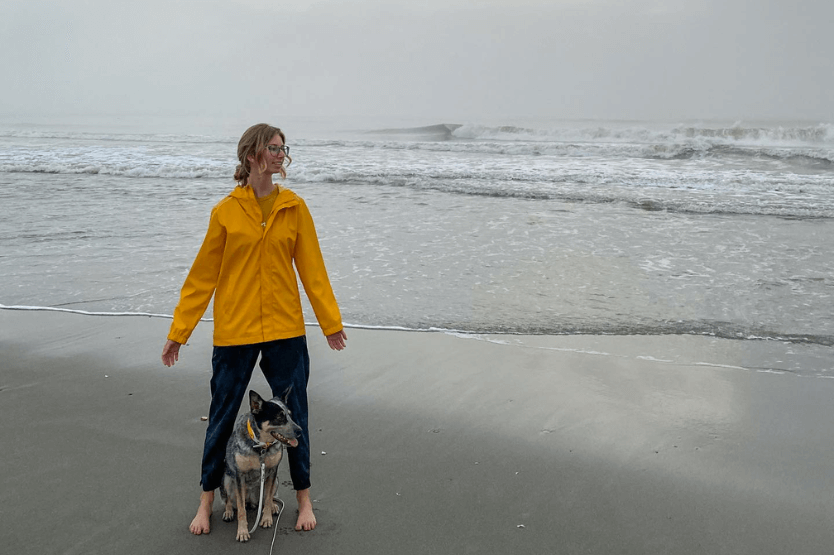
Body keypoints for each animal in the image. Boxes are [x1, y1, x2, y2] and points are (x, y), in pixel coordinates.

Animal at [219, 388, 300, 540]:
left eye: (290, 415)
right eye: (279, 417)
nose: (300, 431)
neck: (261, 446)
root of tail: (252, 501)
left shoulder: (273, 470)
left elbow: (267, 498)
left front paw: (267, 518)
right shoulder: (239, 476)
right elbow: (241, 509)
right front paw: (242, 531)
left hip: (276, 480)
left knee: (269, 496)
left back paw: (273, 506)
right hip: (226, 479)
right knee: (229, 500)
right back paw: (228, 511)